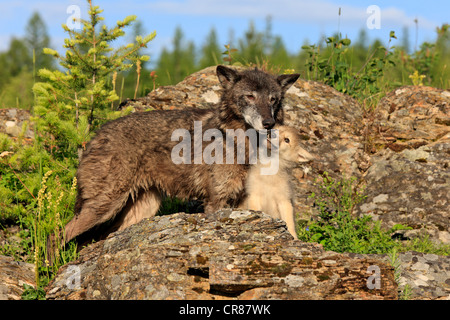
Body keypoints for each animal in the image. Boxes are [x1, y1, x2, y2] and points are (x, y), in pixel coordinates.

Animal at [60, 65, 298, 245]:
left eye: (273, 99)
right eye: (249, 96)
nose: (269, 123)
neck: (238, 141)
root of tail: (95, 136)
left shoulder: (240, 201)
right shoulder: (216, 201)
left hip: (142, 210)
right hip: (104, 207)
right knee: (60, 234)